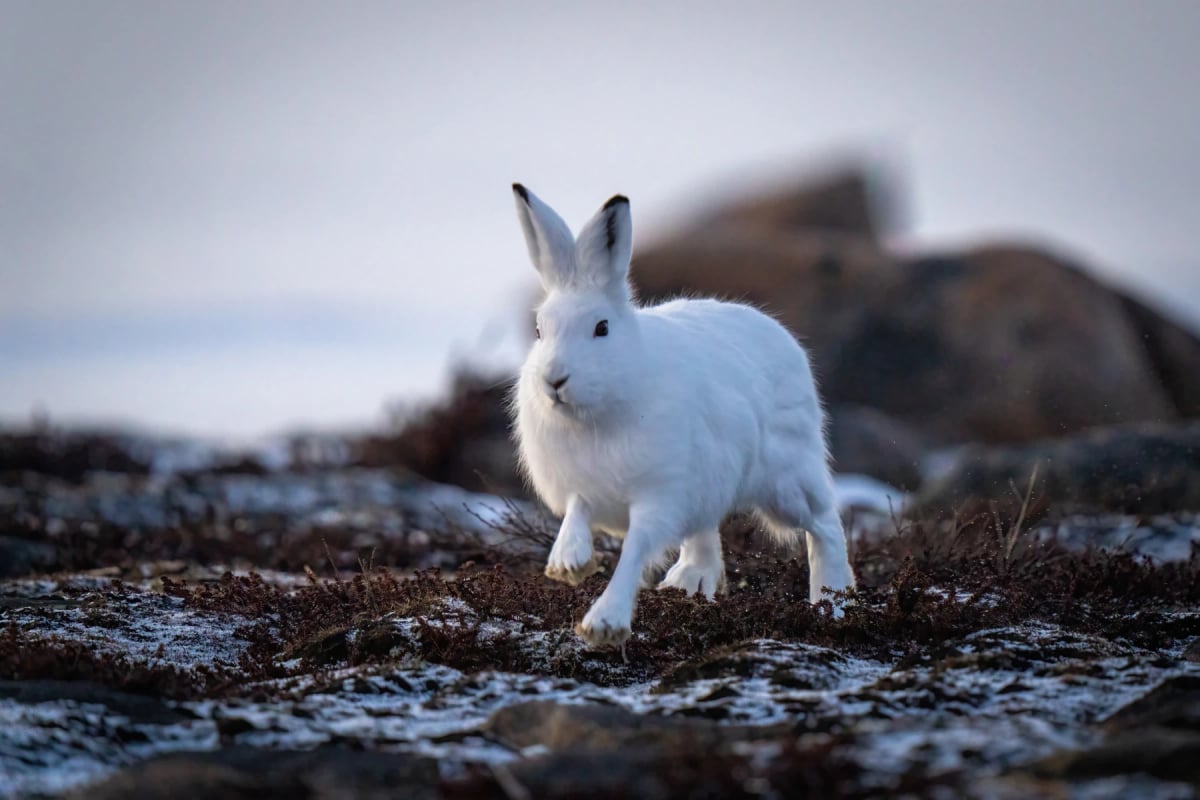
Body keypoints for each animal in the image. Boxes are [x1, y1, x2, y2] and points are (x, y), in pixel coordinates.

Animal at [510, 184, 855, 649]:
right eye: (539, 331)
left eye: (602, 328)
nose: (554, 380)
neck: (597, 412)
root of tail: (781, 337)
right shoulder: (581, 485)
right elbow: (576, 515)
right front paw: (568, 563)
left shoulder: (660, 494)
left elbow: (635, 549)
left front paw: (603, 623)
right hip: (711, 480)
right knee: (706, 527)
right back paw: (691, 581)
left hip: (784, 480)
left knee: (824, 524)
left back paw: (832, 601)